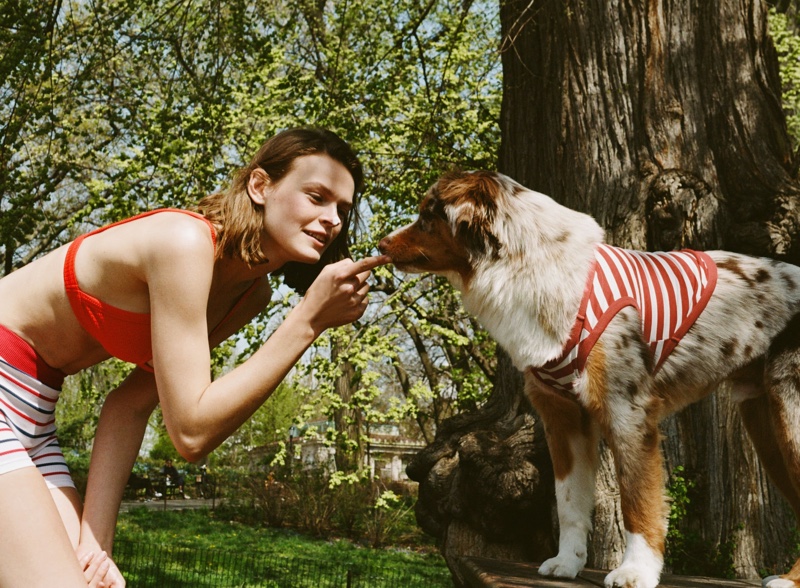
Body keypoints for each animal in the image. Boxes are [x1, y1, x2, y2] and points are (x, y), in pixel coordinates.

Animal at [378, 170, 800, 588]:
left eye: (427, 216)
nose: (381, 244)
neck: (531, 265)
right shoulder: (563, 419)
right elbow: (569, 502)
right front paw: (567, 563)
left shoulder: (627, 412)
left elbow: (637, 501)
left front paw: (636, 571)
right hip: (766, 428)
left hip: (788, 422)